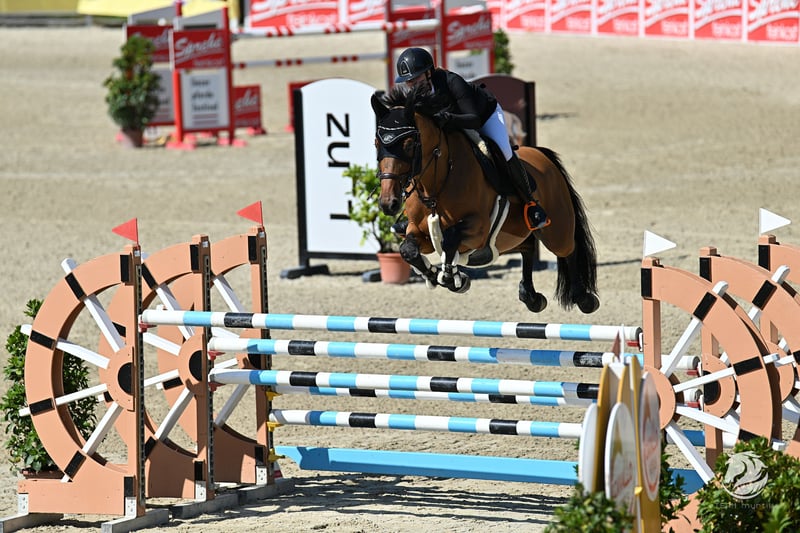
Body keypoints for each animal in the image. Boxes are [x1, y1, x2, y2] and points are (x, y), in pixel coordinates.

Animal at [371, 85, 599, 314]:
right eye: (376, 143)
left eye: (409, 144)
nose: (388, 203)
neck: (435, 184)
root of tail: (542, 155)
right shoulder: (419, 232)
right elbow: (408, 250)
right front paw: (434, 275)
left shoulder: (478, 229)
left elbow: (450, 238)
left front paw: (454, 279)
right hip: (515, 233)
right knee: (527, 248)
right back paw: (531, 297)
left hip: (556, 231)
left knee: (568, 249)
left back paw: (584, 298)